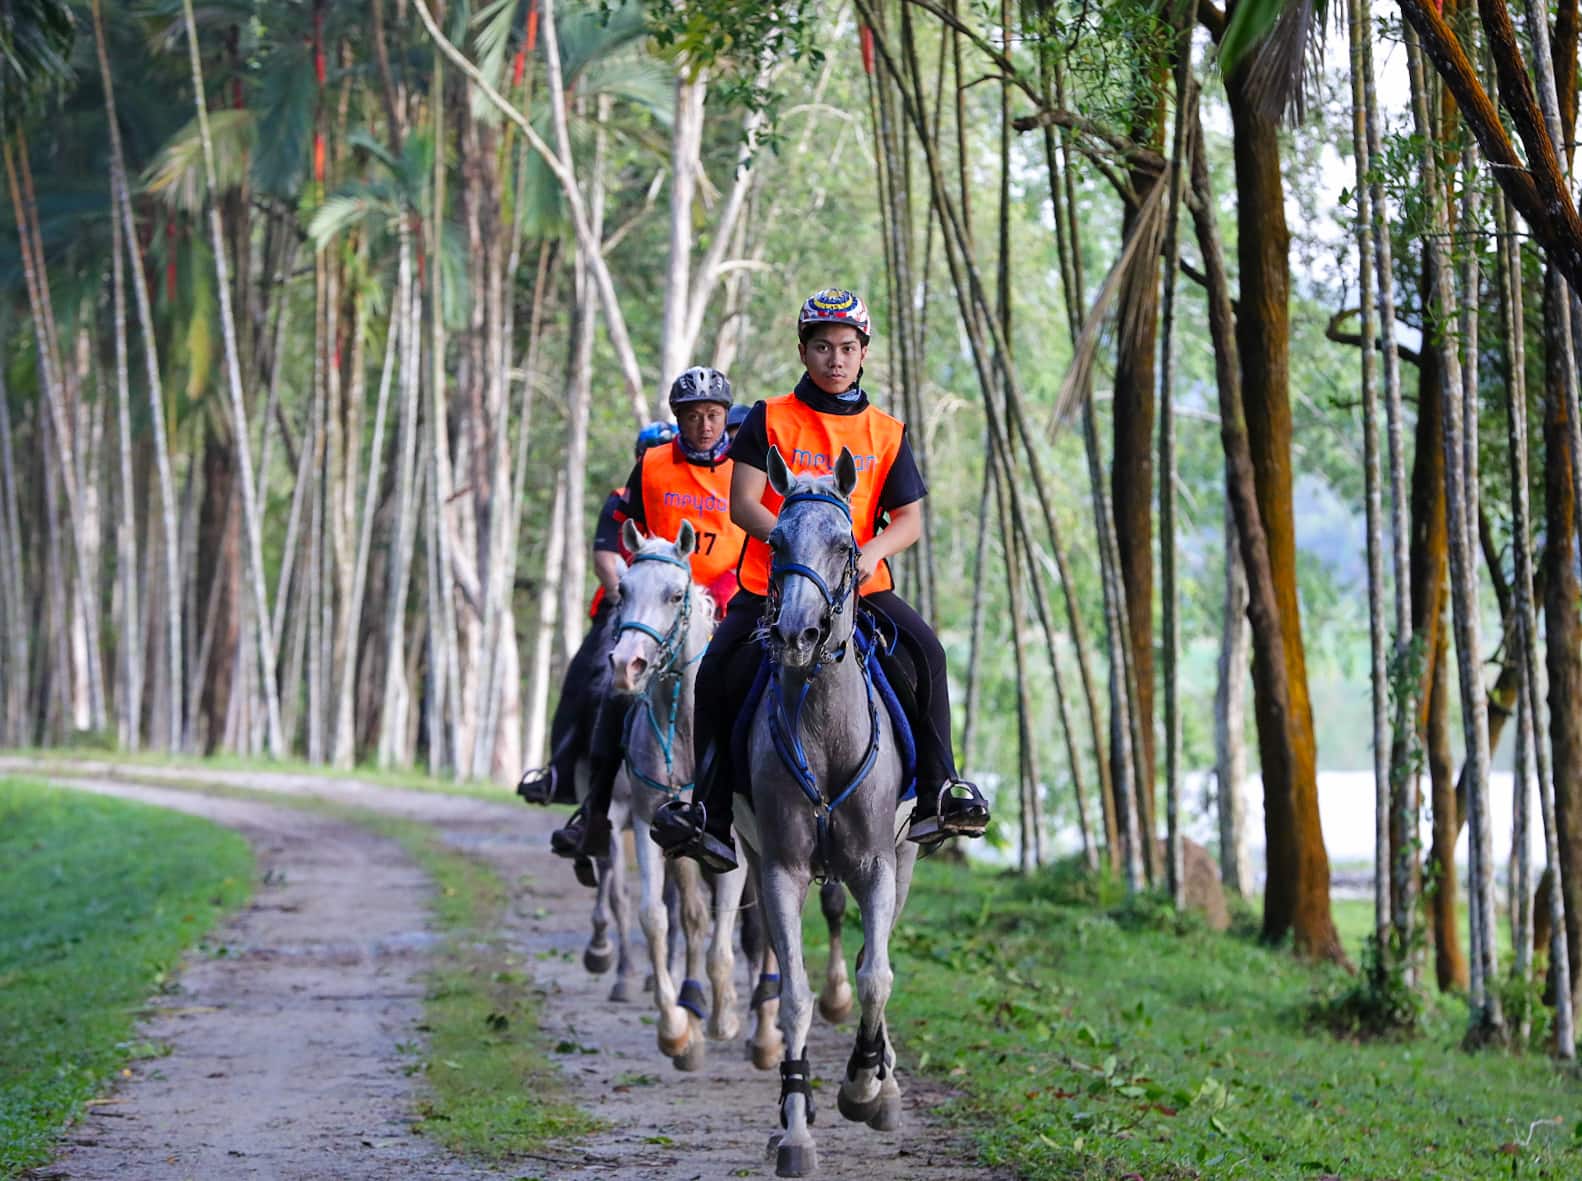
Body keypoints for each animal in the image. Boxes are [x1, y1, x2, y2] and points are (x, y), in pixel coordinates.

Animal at [732, 446, 920, 1178]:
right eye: (776, 542)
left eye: (845, 544)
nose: (795, 633)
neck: (823, 723)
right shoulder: (780, 866)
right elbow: (794, 997)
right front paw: (795, 1127)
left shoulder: (876, 863)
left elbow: (876, 976)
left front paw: (866, 1085)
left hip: (907, 855)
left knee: (876, 953)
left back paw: (882, 1078)